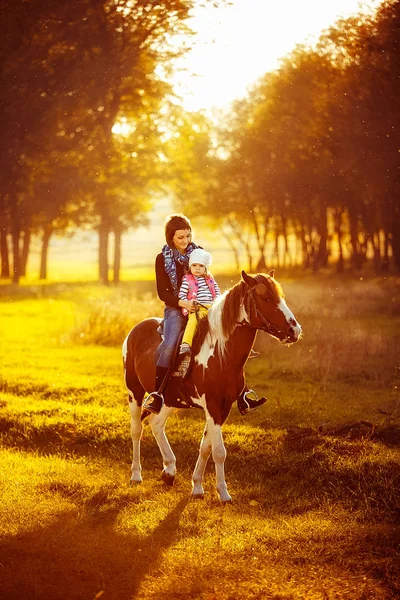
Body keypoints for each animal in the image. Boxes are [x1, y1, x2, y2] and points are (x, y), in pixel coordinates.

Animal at [123, 270, 302, 502]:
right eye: (266, 298)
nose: (294, 330)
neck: (221, 353)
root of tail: (135, 330)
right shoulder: (213, 406)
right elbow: (219, 451)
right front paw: (223, 493)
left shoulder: (222, 408)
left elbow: (205, 447)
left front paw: (197, 487)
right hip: (134, 392)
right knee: (137, 430)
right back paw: (136, 475)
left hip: (169, 399)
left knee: (156, 423)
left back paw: (169, 470)